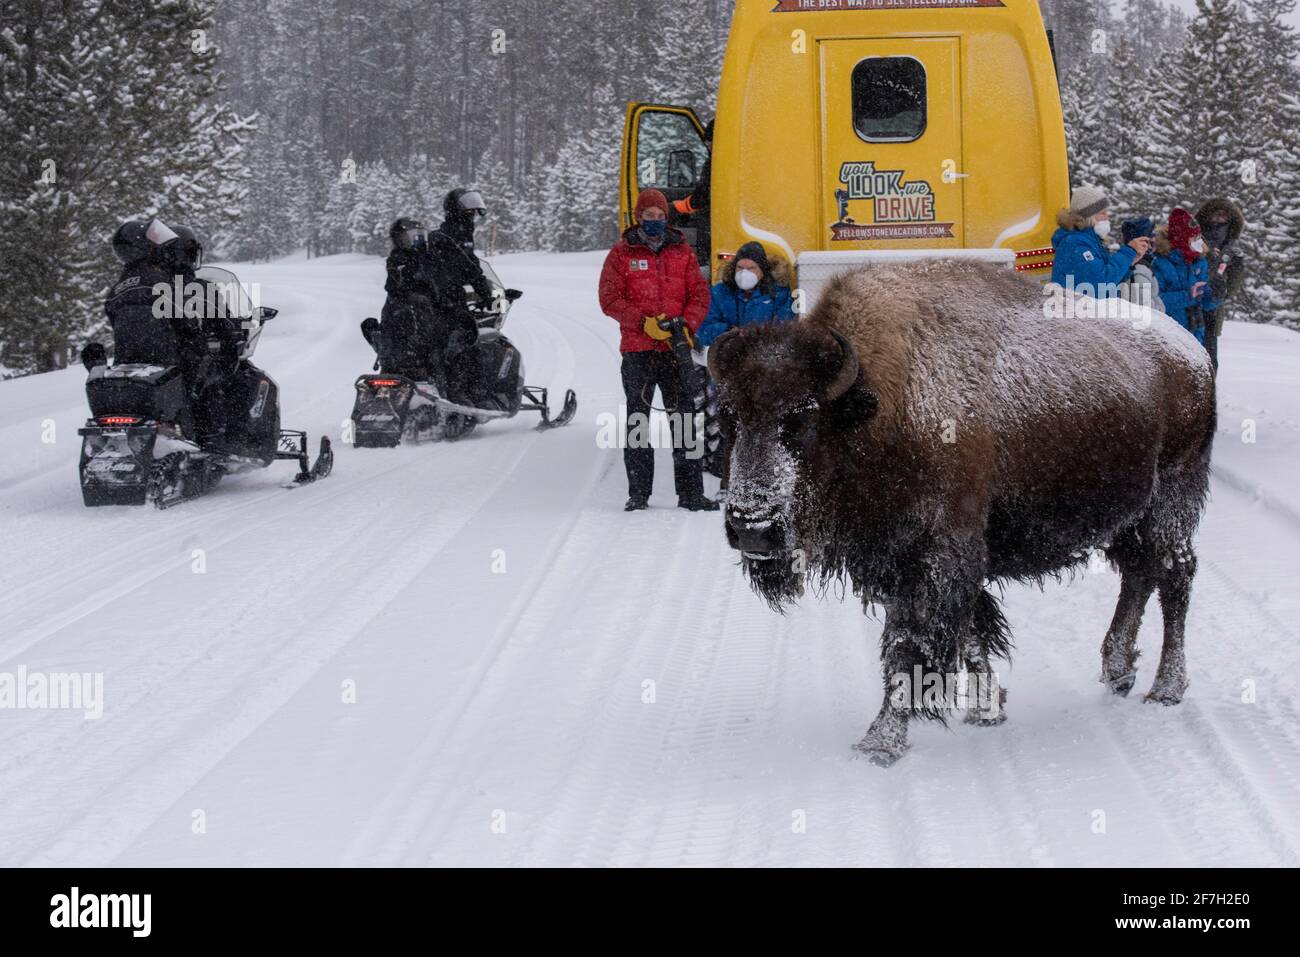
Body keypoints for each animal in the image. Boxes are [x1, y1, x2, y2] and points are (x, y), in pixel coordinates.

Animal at [708, 260, 1216, 764]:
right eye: (728, 417)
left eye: (803, 419)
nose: (751, 527)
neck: (880, 404)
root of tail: (1192, 353)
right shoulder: (898, 561)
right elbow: (969, 631)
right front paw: (987, 711)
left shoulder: (938, 558)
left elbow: (910, 644)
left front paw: (880, 742)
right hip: (1129, 519)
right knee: (1139, 573)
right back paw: (1118, 672)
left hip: (1172, 501)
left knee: (1175, 575)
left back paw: (1165, 689)